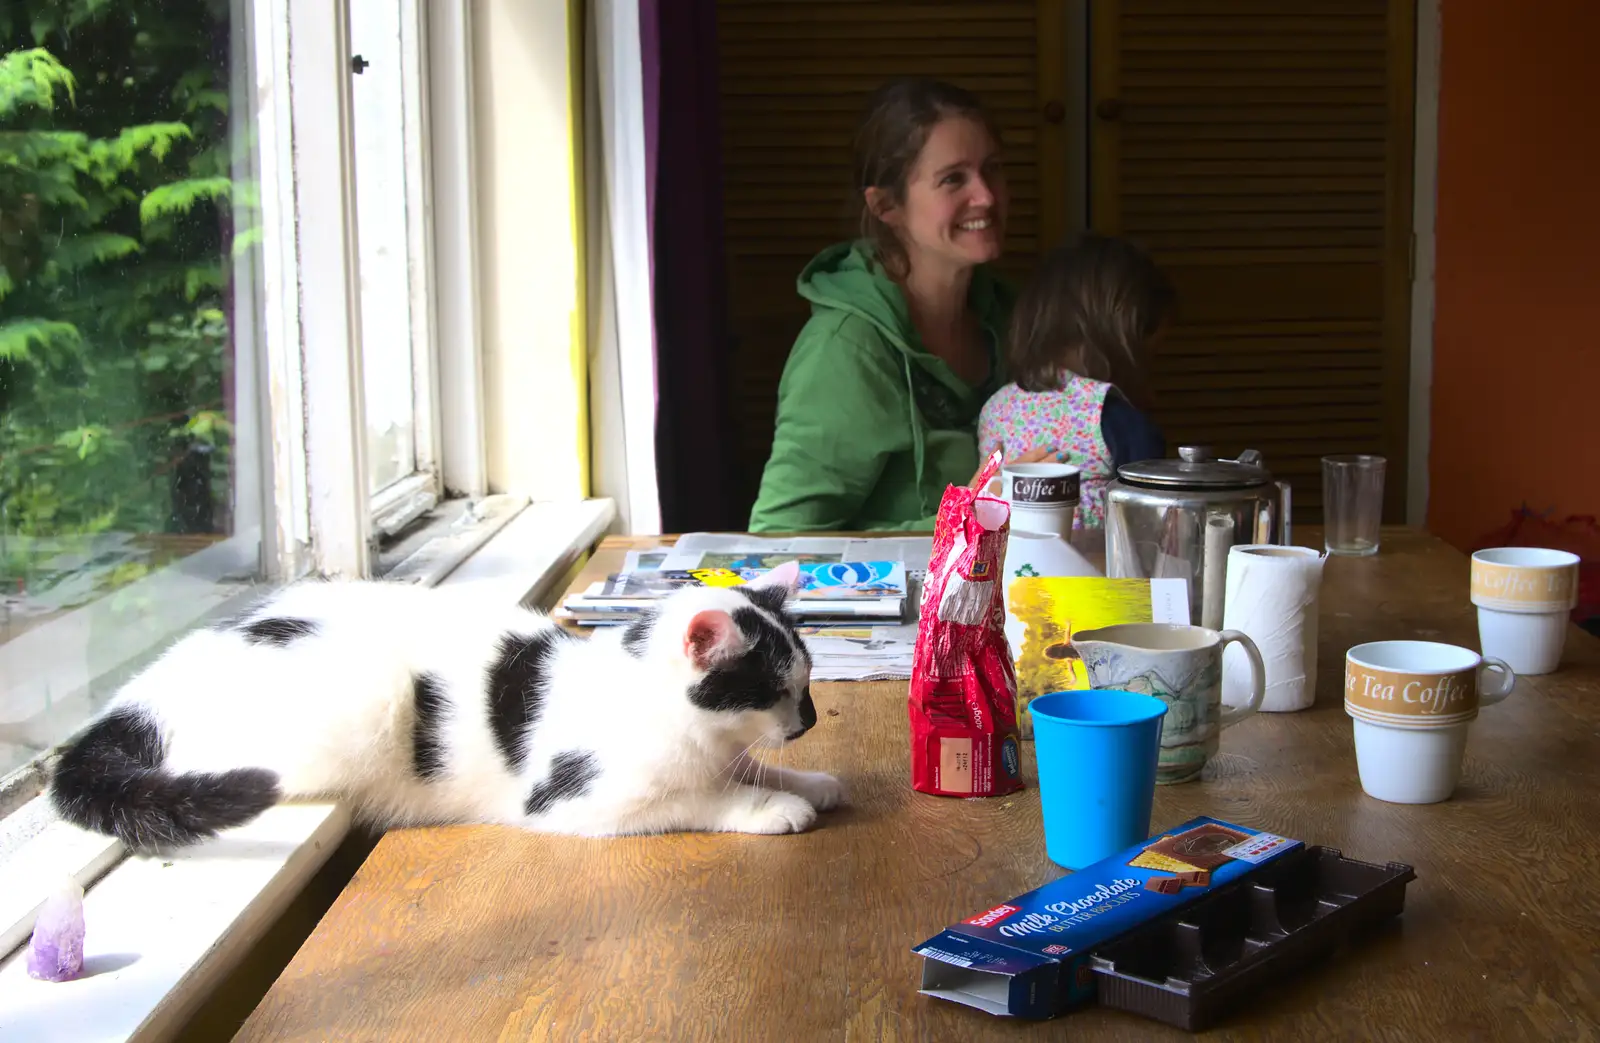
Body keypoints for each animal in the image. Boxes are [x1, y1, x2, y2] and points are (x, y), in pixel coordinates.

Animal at [45, 563, 844, 844]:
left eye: (807, 680)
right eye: (775, 691)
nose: (807, 720)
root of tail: (145, 688)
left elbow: (746, 769)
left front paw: (808, 781)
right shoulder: (575, 800)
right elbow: (701, 798)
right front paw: (769, 808)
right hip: (361, 702)